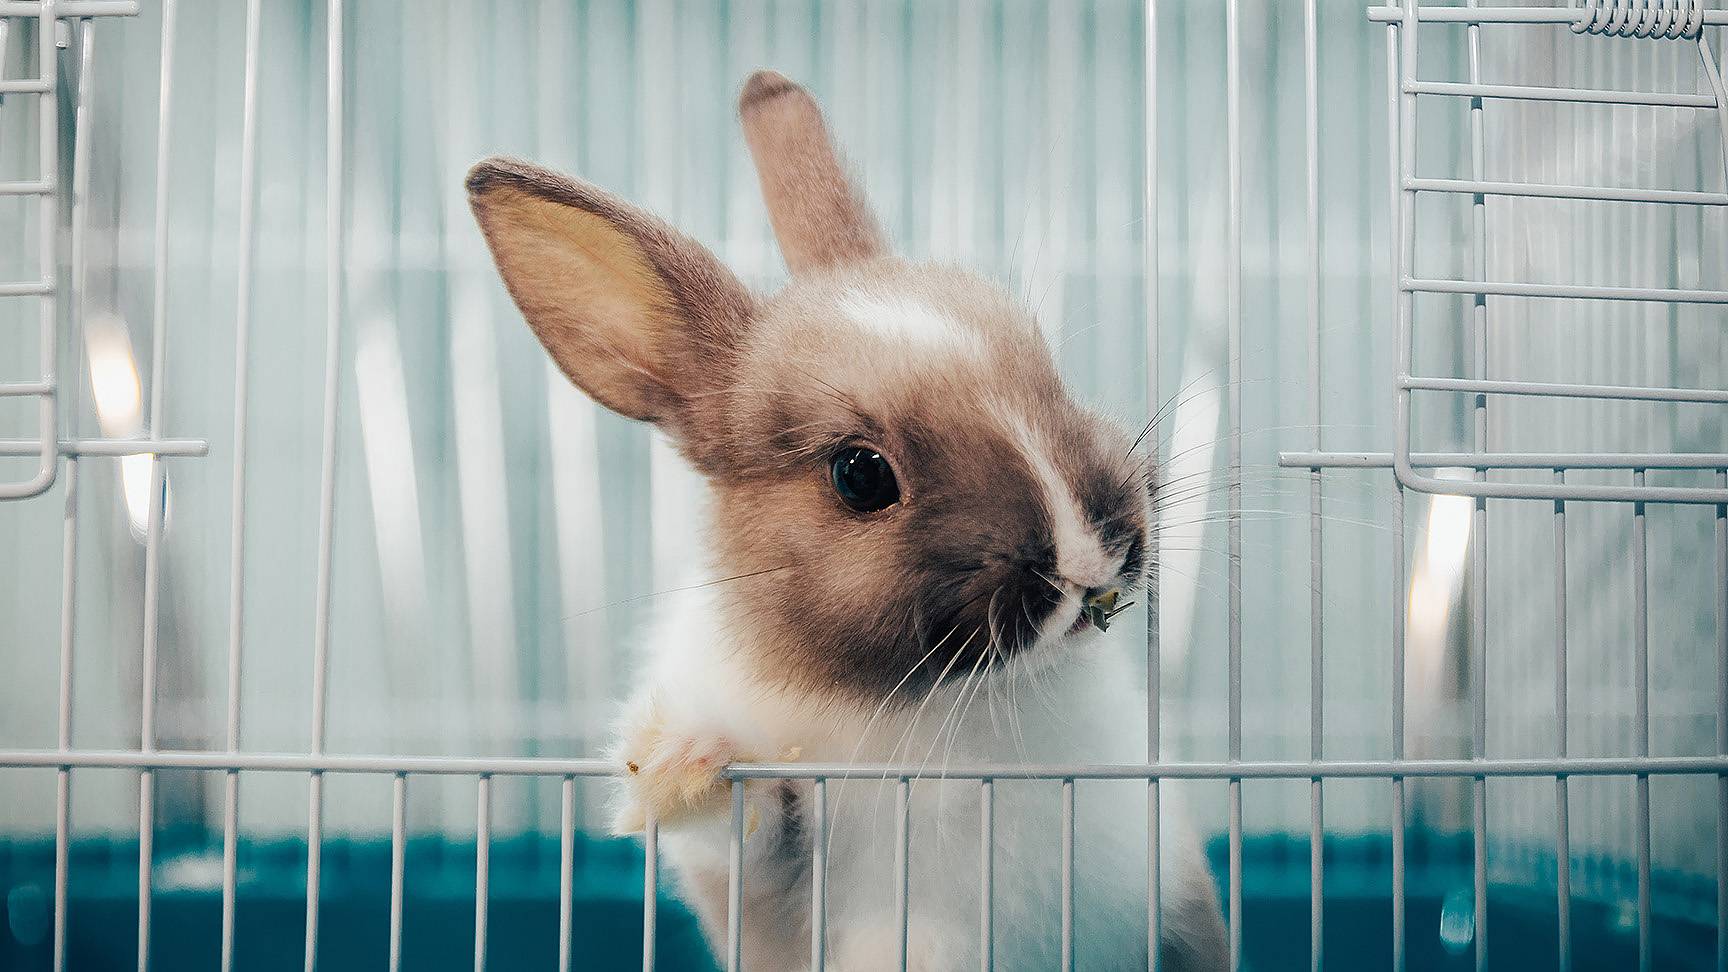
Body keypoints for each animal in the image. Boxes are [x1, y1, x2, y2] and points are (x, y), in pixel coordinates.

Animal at [466, 70, 1226, 972]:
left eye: (1048, 372)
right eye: (860, 475)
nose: (1088, 557)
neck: (935, 703)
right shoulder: (771, 886)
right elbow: (749, 835)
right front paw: (686, 763)